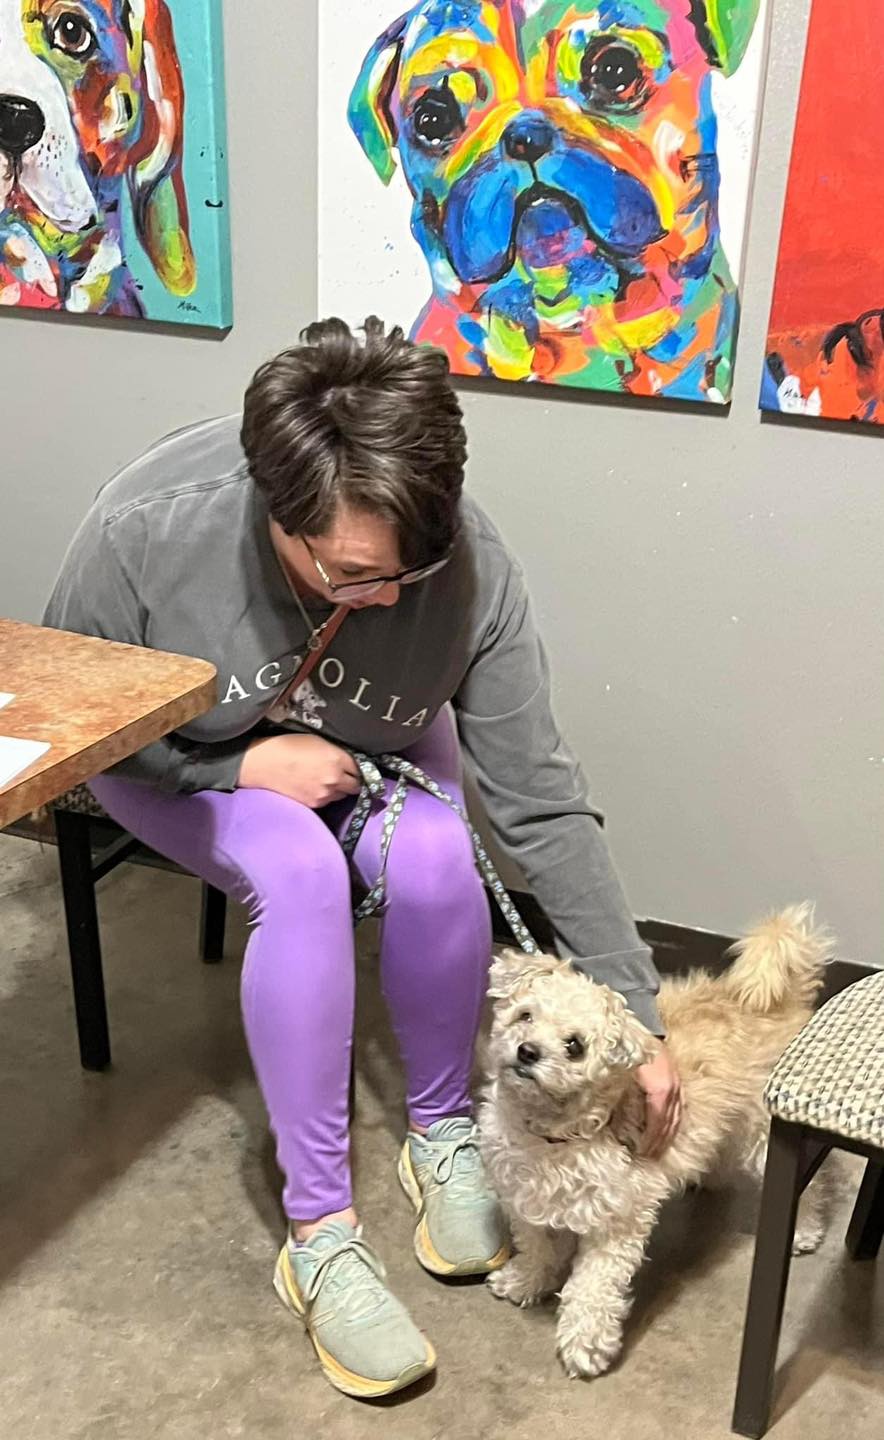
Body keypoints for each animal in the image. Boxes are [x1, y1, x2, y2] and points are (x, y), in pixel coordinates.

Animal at [477, 904, 829, 1376]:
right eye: (526, 1016)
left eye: (575, 1046)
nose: (527, 1051)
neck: (554, 1136)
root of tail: (779, 999)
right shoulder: (527, 1201)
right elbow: (537, 1247)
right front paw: (526, 1279)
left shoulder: (616, 1222)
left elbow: (593, 1288)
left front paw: (586, 1342)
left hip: (764, 1137)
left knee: (809, 1185)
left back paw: (804, 1229)